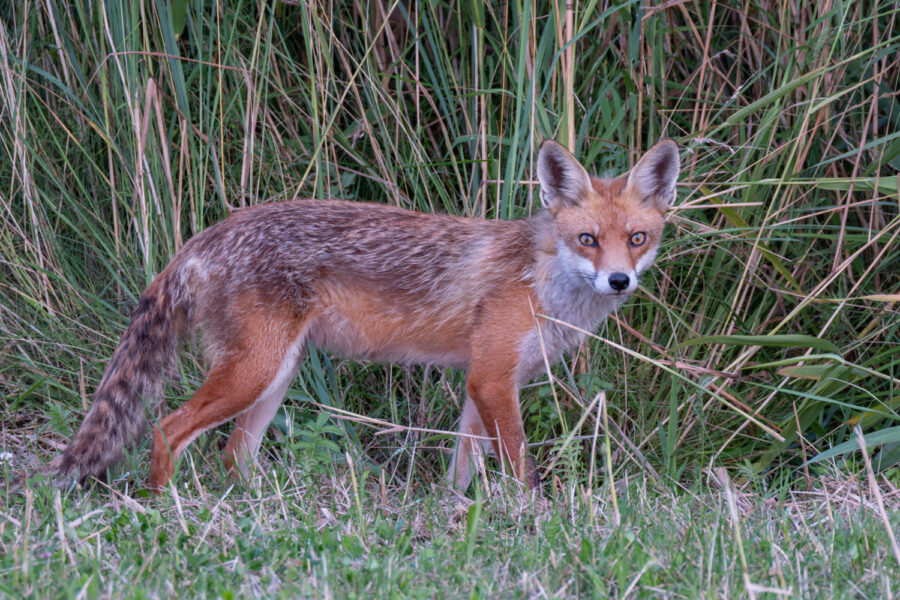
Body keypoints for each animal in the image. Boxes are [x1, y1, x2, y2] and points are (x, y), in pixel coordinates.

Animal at [47, 139, 679, 492]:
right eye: (588, 240)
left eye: (638, 239)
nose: (619, 281)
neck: (541, 278)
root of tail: (205, 235)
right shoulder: (493, 379)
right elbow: (521, 469)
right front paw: (533, 521)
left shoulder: (482, 383)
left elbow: (461, 472)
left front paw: (457, 525)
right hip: (252, 373)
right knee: (166, 429)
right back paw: (164, 507)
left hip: (273, 377)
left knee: (233, 454)